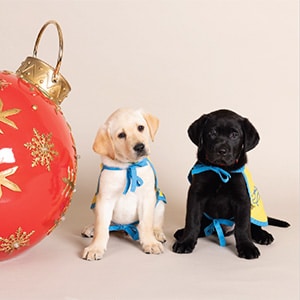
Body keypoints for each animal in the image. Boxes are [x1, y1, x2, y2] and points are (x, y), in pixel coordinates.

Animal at [82, 108, 166, 260]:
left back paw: (157, 234)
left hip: (160, 201)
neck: (127, 167)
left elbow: (146, 223)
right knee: (105, 224)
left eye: (141, 128)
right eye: (121, 135)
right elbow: (101, 226)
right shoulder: (105, 199)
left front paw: (150, 243)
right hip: (95, 203)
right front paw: (95, 248)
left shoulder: (147, 197)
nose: (140, 147)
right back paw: (91, 228)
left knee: (155, 222)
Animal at [172, 109, 290, 258]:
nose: (222, 151)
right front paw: (186, 241)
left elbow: (243, 226)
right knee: (202, 226)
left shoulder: (242, 199)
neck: (221, 170)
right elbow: (192, 220)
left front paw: (247, 246)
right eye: (212, 133)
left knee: (254, 226)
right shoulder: (196, 194)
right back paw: (183, 233)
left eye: (235, 135)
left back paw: (263, 235)